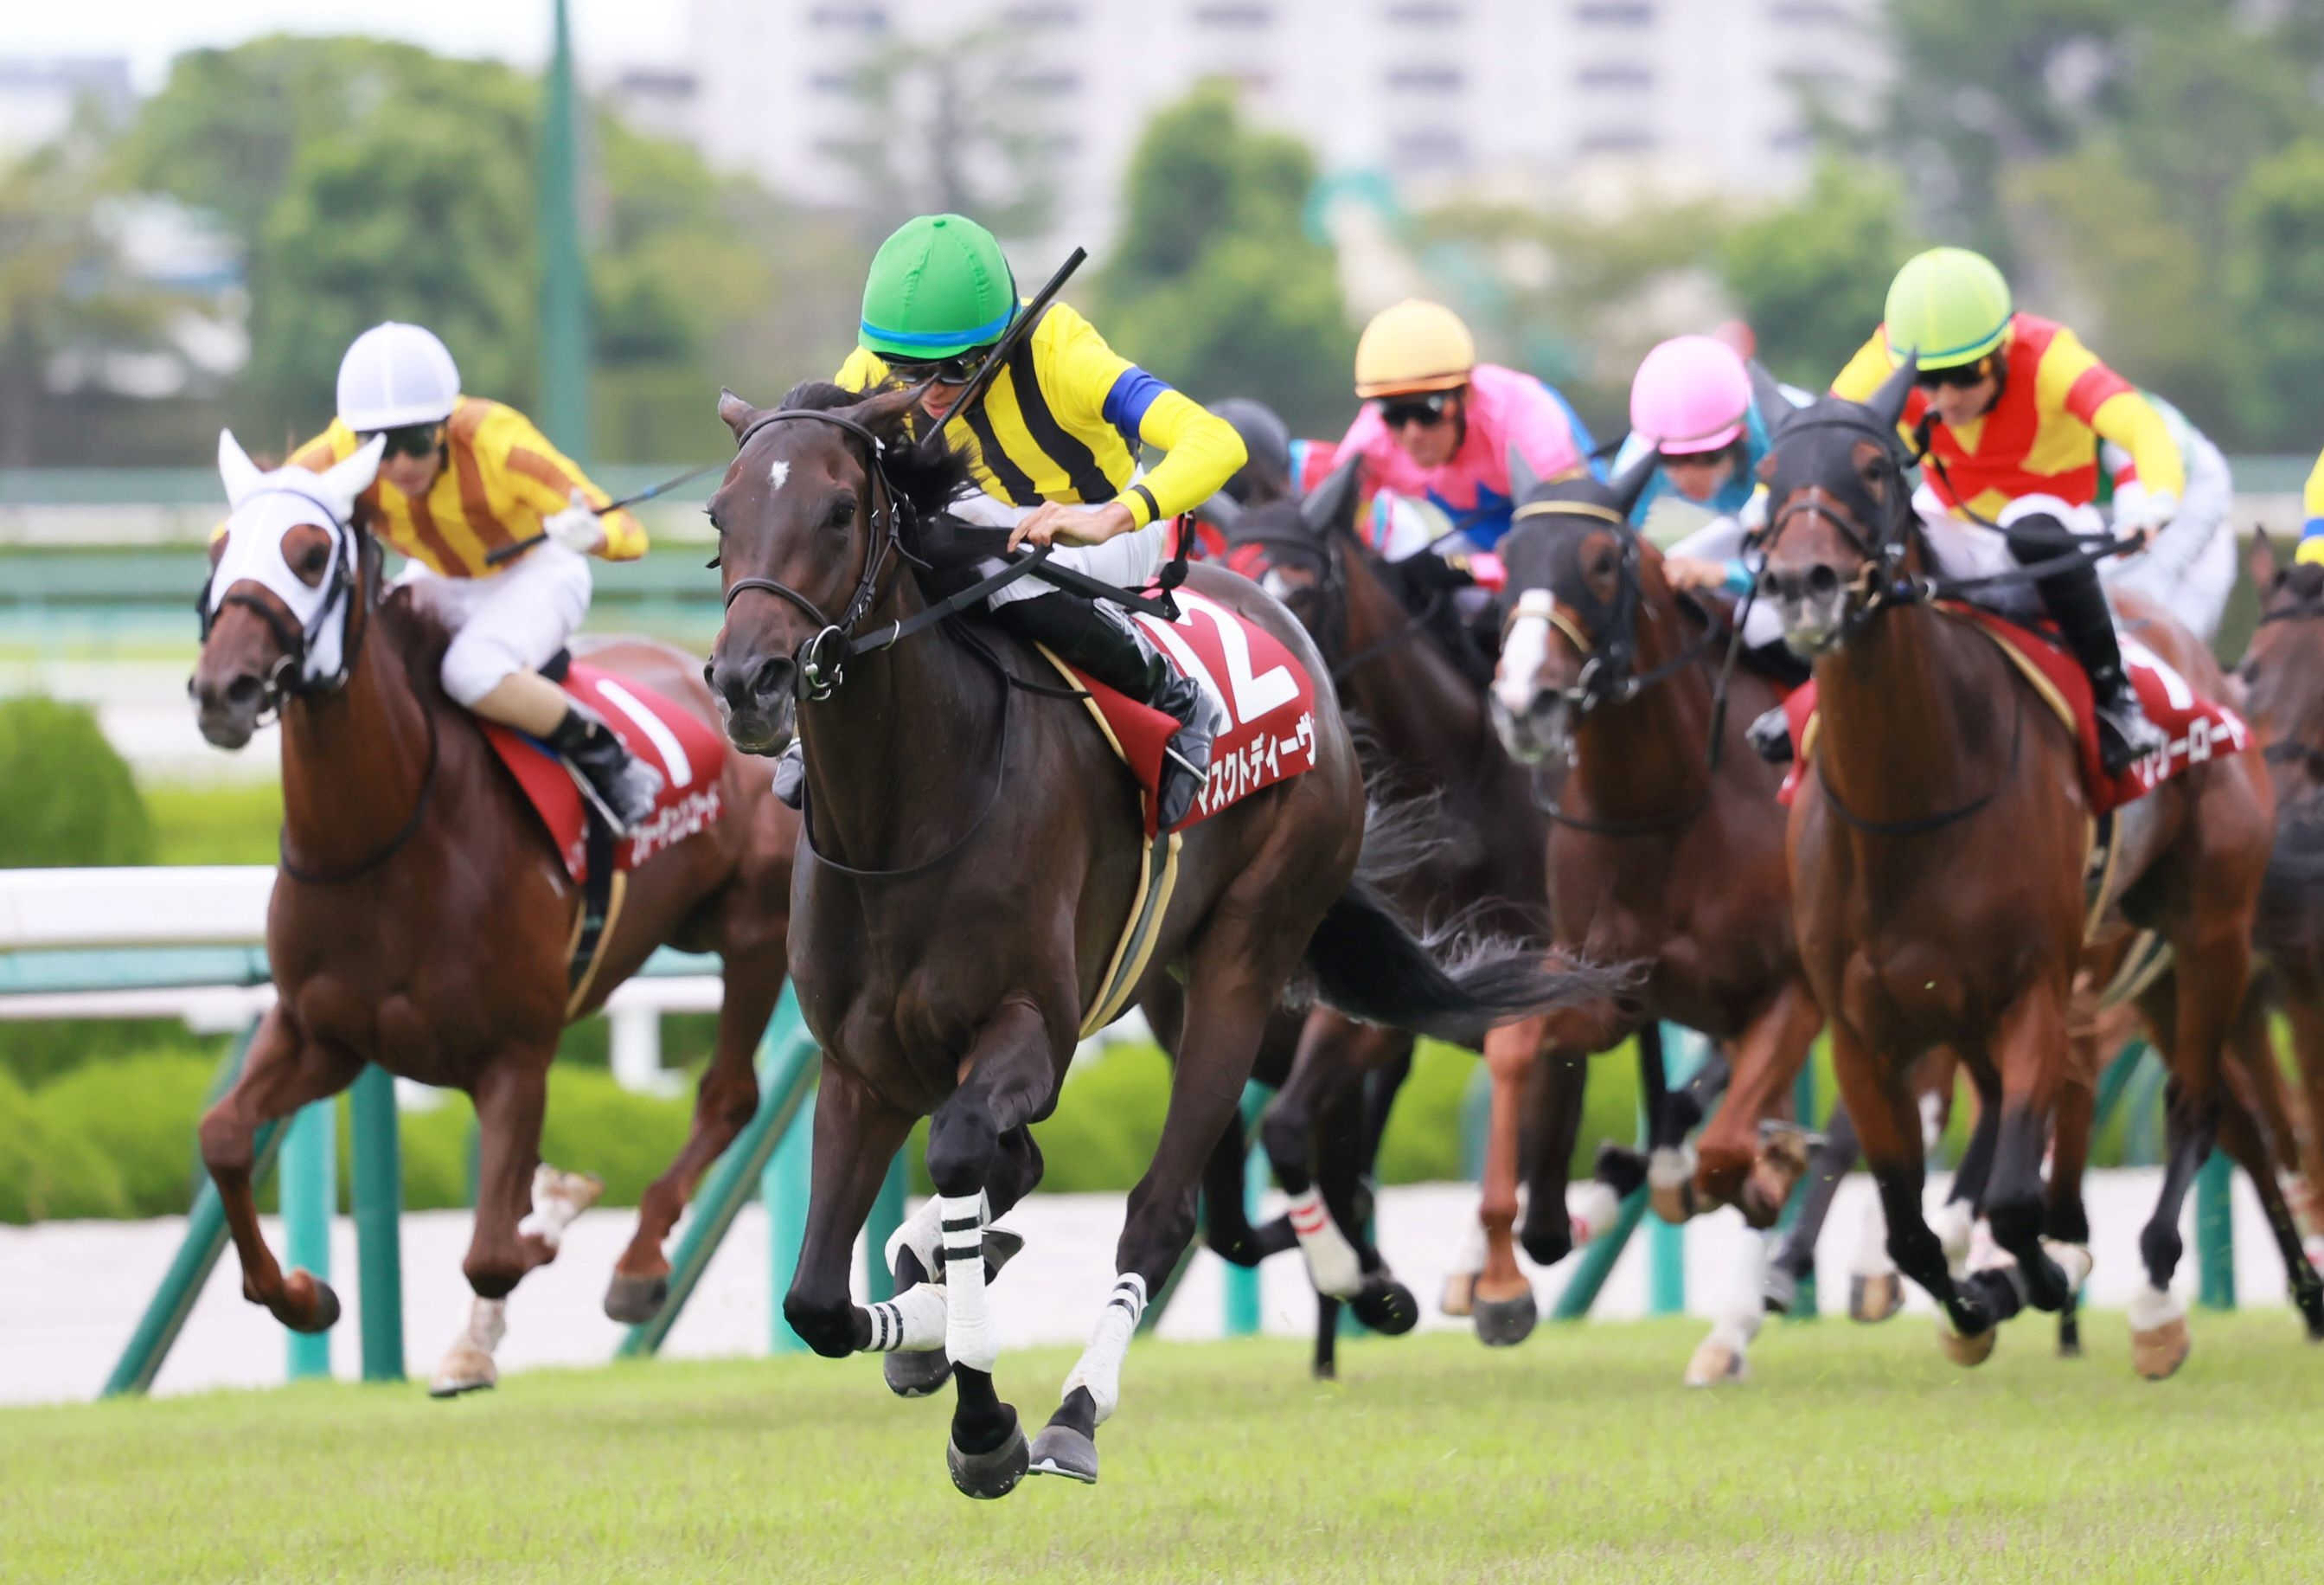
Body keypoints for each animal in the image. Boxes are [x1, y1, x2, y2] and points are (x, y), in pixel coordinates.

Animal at [185, 425, 799, 1384]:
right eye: (218, 551)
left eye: (311, 554)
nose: (224, 689)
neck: (387, 839)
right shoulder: (323, 1033)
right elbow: (221, 1137)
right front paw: (302, 1293)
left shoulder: (515, 1053)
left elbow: (493, 1248)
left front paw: (548, 1224)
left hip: (753, 931)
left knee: (729, 1094)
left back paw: (637, 1262)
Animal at [697, 376, 1626, 1487]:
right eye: (719, 516)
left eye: (839, 511)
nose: (747, 680)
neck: (903, 818)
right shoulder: (859, 1064)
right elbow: (818, 1301)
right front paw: (924, 1323)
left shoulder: (1030, 1028)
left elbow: (962, 1151)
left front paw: (986, 1419)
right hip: (1165, 989)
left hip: (1245, 954)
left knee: (1162, 1208)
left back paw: (1079, 1405)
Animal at [1747, 360, 2314, 1366]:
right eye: (1770, 475)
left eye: (1873, 468)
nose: (1801, 580)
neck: (1907, 805)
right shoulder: (1862, 1028)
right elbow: (1907, 1220)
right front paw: (1973, 1300)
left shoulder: (2037, 994)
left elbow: (2015, 1198)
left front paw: (2031, 1277)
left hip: (2207, 935)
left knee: (2201, 1107)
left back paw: (2156, 1303)